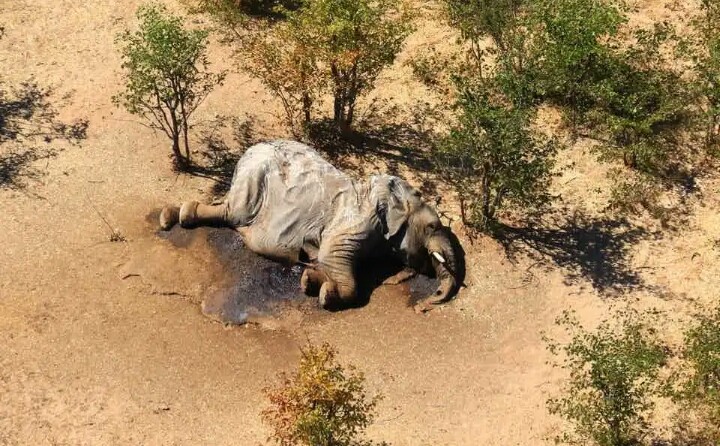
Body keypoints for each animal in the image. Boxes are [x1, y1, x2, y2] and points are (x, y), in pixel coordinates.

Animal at [159, 140, 465, 312]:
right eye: (432, 227)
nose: (425, 305)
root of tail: (250, 149)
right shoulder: (357, 221)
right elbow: (332, 256)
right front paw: (327, 295)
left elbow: (326, 261)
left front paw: (309, 280)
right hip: (254, 178)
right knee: (233, 212)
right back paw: (174, 217)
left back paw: (172, 215)